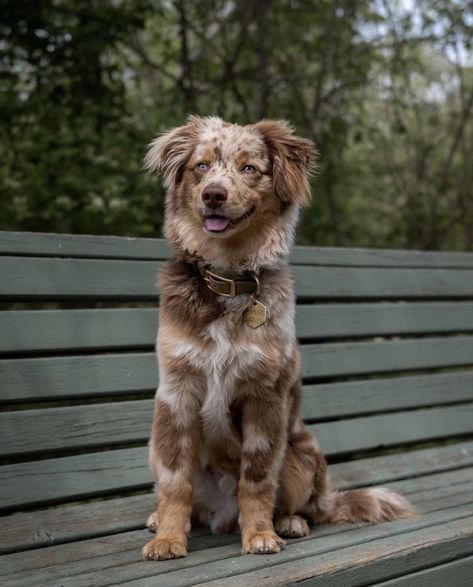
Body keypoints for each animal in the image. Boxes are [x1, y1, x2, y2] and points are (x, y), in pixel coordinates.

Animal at [141, 117, 412, 564]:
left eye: (249, 168)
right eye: (201, 166)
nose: (214, 194)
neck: (229, 277)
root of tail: (220, 514)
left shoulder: (264, 397)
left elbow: (256, 479)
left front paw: (259, 535)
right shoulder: (176, 394)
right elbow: (175, 480)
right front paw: (167, 538)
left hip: (304, 453)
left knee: (309, 507)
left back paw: (289, 521)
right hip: (155, 444)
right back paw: (157, 518)